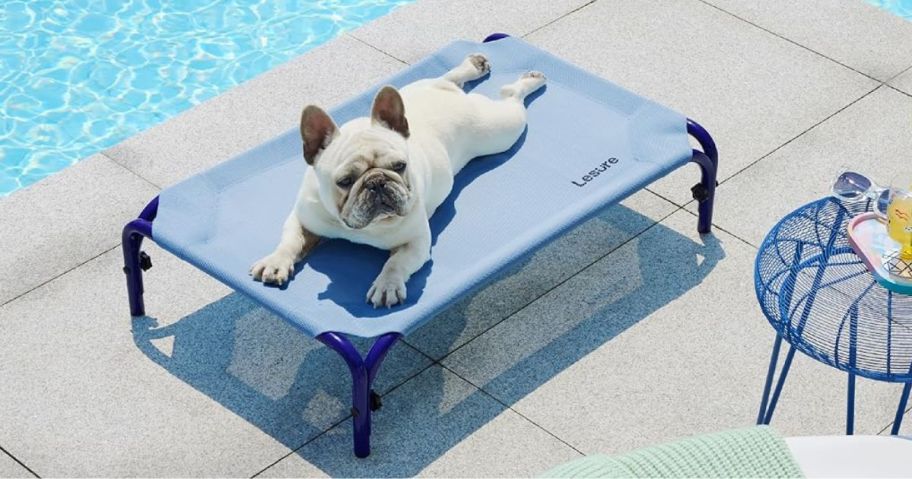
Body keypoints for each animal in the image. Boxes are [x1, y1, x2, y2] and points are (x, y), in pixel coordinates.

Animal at [249, 52, 544, 308]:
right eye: (345, 180)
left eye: (400, 166)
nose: (377, 182)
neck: (359, 228)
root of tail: (452, 97)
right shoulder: (304, 217)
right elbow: (290, 240)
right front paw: (276, 261)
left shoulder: (416, 242)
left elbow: (395, 263)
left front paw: (387, 285)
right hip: (428, 89)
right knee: (451, 77)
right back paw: (473, 66)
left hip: (500, 130)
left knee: (510, 96)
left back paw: (530, 80)